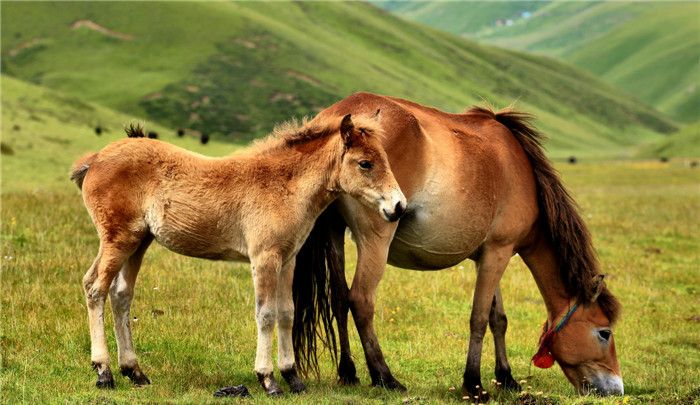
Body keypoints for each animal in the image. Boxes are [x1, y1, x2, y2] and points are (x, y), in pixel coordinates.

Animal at [292, 93, 624, 400]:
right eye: (604, 333)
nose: (616, 389)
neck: (521, 172)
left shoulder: (488, 255)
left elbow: (498, 319)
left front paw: (506, 378)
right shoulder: (499, 252)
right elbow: (479, 318)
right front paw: (474, 384)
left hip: (334, 233)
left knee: (338, 300)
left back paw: (348, 373)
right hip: (376, 238)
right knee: (360, 300)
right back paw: (384, 377)